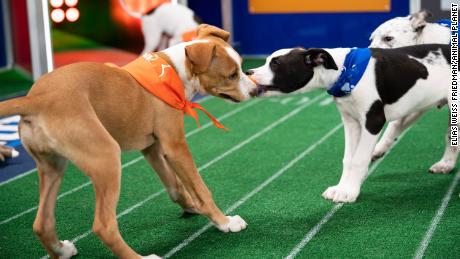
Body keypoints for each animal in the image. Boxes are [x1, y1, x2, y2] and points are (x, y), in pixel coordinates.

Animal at [0, 24, 255, 259]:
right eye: (232, 75)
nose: (255, 90)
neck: (175, 71)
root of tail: (36, 99)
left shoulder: (152, 148)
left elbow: (175, 186)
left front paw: (192, 205)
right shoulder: (175, 146)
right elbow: (201, 188)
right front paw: (225, 222)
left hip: (52, 167)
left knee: (41, 223)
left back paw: (61, 250)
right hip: (106, 157)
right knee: (104, 226)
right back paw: (142, 257)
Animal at [246, 44, 452, 203]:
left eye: (276, 63)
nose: (248, 72)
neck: (345, 70)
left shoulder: (373, 121)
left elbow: (359, 159)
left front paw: (349, 192)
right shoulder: (351, 122)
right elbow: (349, 159)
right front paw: (343, 187)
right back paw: (445, 164)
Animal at [368, 10, 454, 174]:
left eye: (388, 38)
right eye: (370, 40)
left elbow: (450, 136)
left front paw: (446, 163)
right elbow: (393, 126)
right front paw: (377, 149)